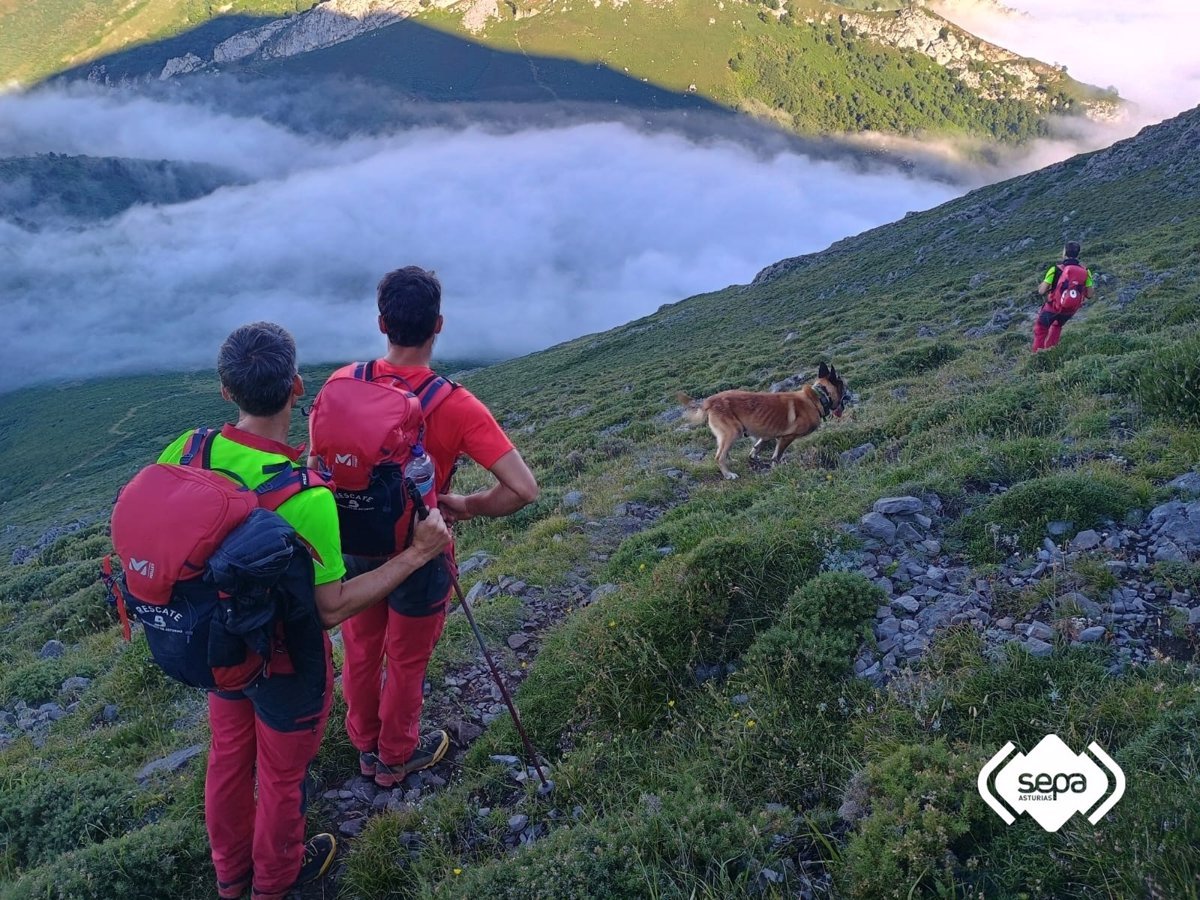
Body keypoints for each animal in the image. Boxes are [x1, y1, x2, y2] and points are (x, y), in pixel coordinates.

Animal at [681, 364, 849, 482]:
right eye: (844, 387)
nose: (849, 397)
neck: (818, 397)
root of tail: (709, 401)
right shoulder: (786, 437)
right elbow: (777, 456)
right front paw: (777, 468)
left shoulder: (767, 434)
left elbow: (757, 447)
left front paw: (754, 458)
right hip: (733, 432)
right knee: (719, 456)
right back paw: (728, 474)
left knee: (723, 451)